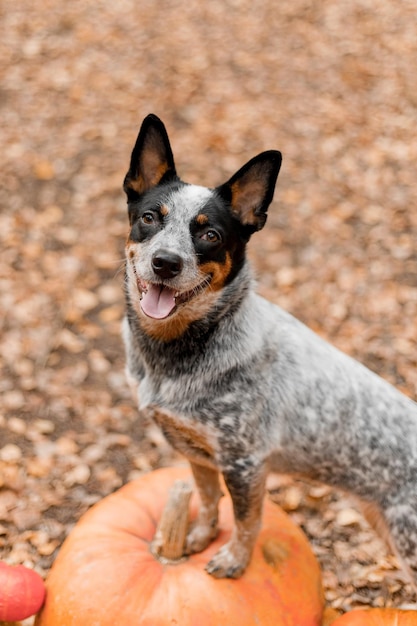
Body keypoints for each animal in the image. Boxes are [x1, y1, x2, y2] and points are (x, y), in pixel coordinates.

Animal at [121, 111, 416, 580]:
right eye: (150, 217)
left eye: (210, 235)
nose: (165, 262)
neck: (172, 353)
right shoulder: (197, 452)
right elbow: (207, 499)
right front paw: (197, 537)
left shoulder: (244, 462)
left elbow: (246, 519)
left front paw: (234, 561)